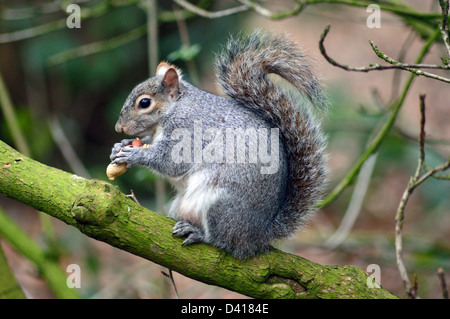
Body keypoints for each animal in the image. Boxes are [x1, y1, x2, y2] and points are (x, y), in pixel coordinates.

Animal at [109, 31, 326, 258]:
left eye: (144, 103)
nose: (119, 128)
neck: (176, 108)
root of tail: (258, 234)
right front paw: (121, 146)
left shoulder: (188, 130)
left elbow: (171, 163)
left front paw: (134, 155)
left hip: (222, 205)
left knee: (222, 239)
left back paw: (199, 234)